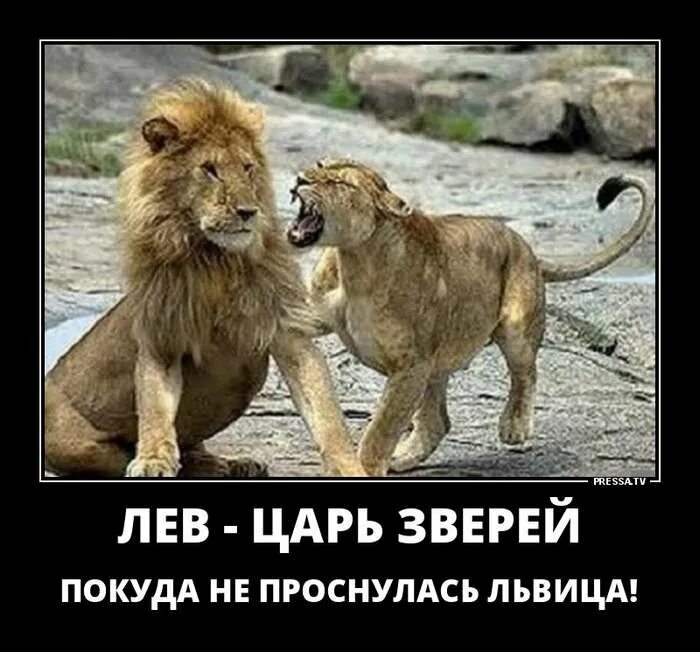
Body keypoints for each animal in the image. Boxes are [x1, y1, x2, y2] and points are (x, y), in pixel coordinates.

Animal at [44, 80, 365, 478]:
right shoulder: (161, 337)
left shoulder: (289, 332)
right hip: (69, 441)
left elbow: (327, 415)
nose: (247, 211)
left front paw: (349, 466)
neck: (215, 262)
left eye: (247, 168)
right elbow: (154, 407)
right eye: (209, 169)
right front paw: (153, 460)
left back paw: (235, 465)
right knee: (117, 456)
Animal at [286, 159, 654, 476]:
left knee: (526, 373)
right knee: (437, 421)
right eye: (319, 166)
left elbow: (382, 427)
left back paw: (514, 426)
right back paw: (404, 457)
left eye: (340, 183)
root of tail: (528, 250)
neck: (353, 260)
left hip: (512, 327)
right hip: (437, 361)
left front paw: (364, 466)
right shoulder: (315, 316)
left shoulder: (411, 365)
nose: (300, 179)